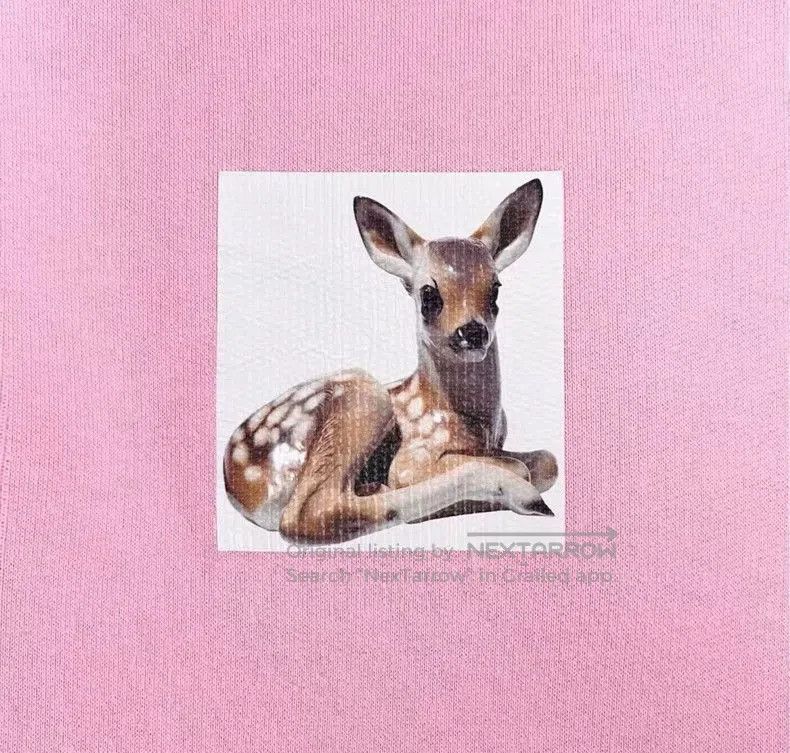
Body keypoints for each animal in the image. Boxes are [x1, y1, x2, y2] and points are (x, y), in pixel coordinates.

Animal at [223, 179, 558, 543]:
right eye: (428, 294)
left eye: (495, 288)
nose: (472, 331)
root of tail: (237, 485)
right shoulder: (414, 456)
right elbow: (517, 466)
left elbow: (547, 461)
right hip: (363, 397)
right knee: (308, 514)